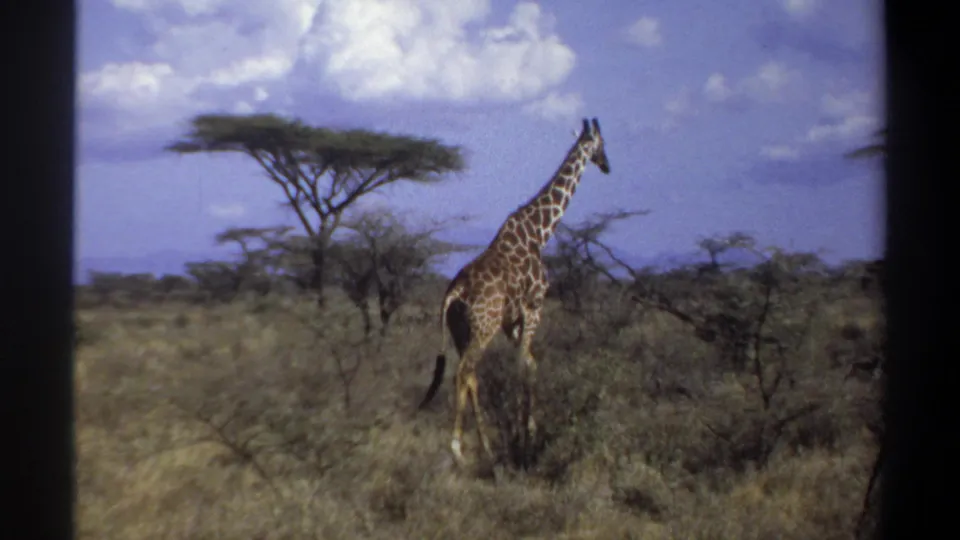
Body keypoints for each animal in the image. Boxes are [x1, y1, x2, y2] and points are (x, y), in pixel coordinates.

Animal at [417, 117, 611, 466]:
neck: (539, 233)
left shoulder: (511, 321)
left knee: (471, 375)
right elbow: (523, 364)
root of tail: (455, 291)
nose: (607, 165)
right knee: (463, 372)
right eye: (602, 143)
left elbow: (529, 363)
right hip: (483, 328)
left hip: (462, 331)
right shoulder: (534, 307)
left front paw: (529, 430)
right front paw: (524, 437)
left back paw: (486, 446)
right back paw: (458, 448)